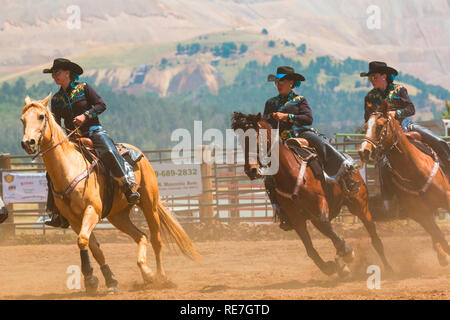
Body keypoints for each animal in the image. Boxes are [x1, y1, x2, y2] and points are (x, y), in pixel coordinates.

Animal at [20, 94, 200, 294]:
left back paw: (161, 277)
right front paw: (106, 280)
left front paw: (91, 279)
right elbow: (93, 246)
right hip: (118, 216)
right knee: (141, 236)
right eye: (22, 119)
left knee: (156, 240)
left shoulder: (92, 210)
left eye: (41, 116)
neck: (70, 168)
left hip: (149, 205)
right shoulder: (74, 219)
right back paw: (147, 274)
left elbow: (83, 240)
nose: (28, 143)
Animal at [230, 113, 392, 278]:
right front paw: (330, 266)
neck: (289, 172)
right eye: (240, 139)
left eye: (256, 137)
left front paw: (347, 252)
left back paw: (388, 268)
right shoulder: (295, 218)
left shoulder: (319, 202)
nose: (251, 170)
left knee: (375, 238)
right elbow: (310, 248)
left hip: (360, 205)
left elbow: (324, 224)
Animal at [358, 103, 450, 268]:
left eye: (380, 126)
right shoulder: (419, 214)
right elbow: (439, 236)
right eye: (366, 126)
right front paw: (443, 255)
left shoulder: (447, 198)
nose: (363, 151)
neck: (414, 170)